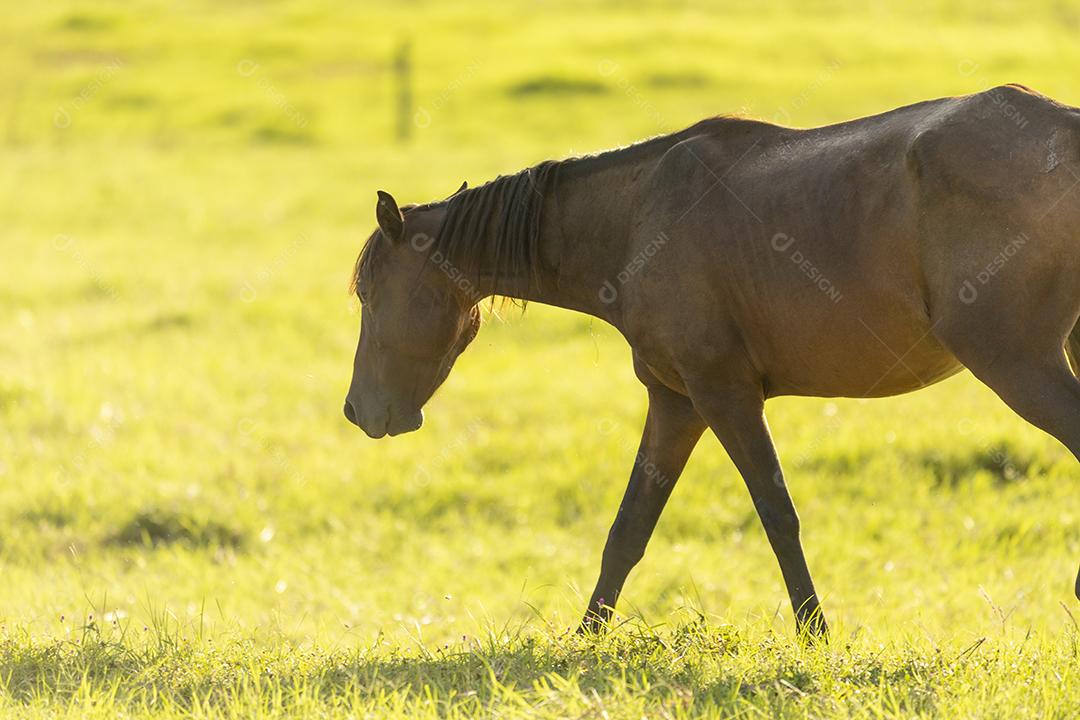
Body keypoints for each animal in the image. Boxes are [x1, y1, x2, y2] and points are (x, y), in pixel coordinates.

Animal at [344, 84, 1080, 639]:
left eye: (371, 295)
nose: (357, 411)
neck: (636, 218)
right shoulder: (676, 403)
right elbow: (628, 530)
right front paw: (585, 640)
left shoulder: (723, 394)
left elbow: (777, 514)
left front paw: (815, 637)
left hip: (1015, 362)